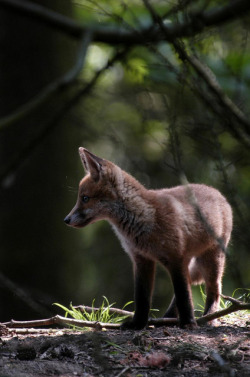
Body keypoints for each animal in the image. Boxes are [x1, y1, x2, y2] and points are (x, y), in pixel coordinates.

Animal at [64, 148, 232, 328]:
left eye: (85, 198)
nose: (66, 220)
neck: (143, 219)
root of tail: (218, 193)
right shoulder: (141, 260)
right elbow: (142, 299)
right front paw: (137, 324)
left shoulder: (176, 259)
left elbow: (184, 296)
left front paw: (188, 323)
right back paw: (167, 318)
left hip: (211, 261)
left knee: (215, 290)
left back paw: (209, 317)